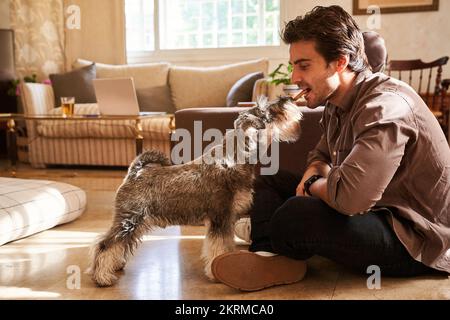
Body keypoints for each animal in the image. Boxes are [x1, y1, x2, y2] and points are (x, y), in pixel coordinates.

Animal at [90, 96, 304, 286]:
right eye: (268, 111)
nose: (288, 99)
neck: (234, 158)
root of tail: (134, 173)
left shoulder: (227, 218)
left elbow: (226, 244)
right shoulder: (219, 218)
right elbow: (217, 247)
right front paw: (215, 273)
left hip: (137, 221)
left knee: (119, 244)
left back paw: (114, 266)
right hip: (129, 219)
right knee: (106, 245)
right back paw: (102, 277)